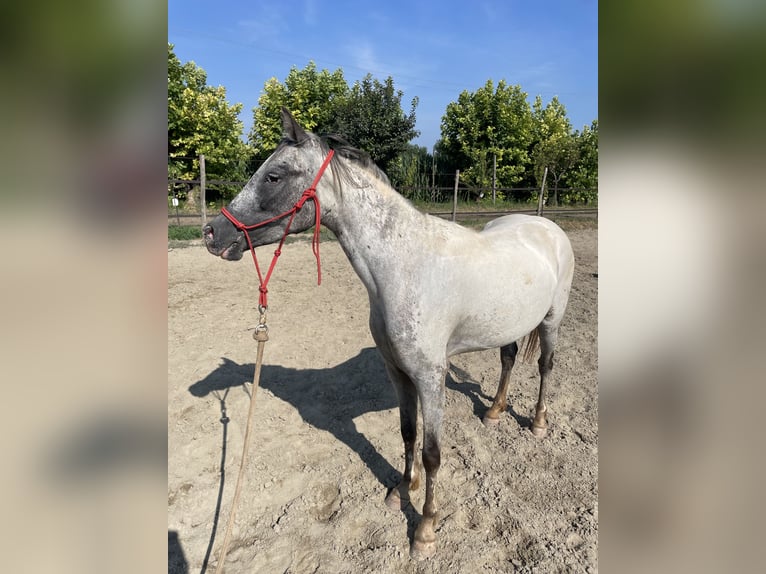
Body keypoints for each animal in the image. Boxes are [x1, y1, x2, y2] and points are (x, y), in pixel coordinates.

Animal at [203, 108, 575, 560]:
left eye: (273, 176)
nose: (212, 234)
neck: (404, 267)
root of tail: (545, 225)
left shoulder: (430, 377)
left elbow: (432, 453)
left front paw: (425, 529)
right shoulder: (398, 372)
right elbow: (407, 431)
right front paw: (401, 489)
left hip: (552, 321)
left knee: (545, 366)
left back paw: (536, 422)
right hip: (509, 323)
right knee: (508, 358)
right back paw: (494, 411)